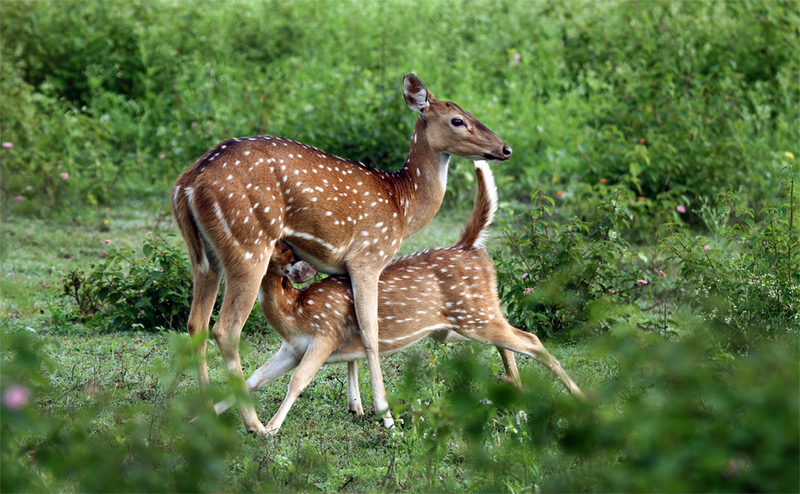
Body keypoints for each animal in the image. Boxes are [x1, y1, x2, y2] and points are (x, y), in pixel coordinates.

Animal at [174, 72, 512, 432]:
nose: (505, 149)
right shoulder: (369, 256)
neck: (403, 208)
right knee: (225, 329)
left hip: (205, 257)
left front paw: (356, 407)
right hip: (249, 244)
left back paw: (205, 412)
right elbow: (370, 332)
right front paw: (385, 415)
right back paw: (255, 424)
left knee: (195, 323)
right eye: (457, 120)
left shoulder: (342, 268)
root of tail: (186, 185)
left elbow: (352, 333)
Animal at [212, 161, 584, 432]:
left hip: (474, 316)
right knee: (510, 341)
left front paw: (270, 428)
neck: (295, 313)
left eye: (282, 247)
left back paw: (579, 398)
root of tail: (470, 247)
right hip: (467, 319)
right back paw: (518, 400)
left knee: (531, 339)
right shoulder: (291, 348)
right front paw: (208, 410)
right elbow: (255, 377)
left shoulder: (325, 335)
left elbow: (297, 381)